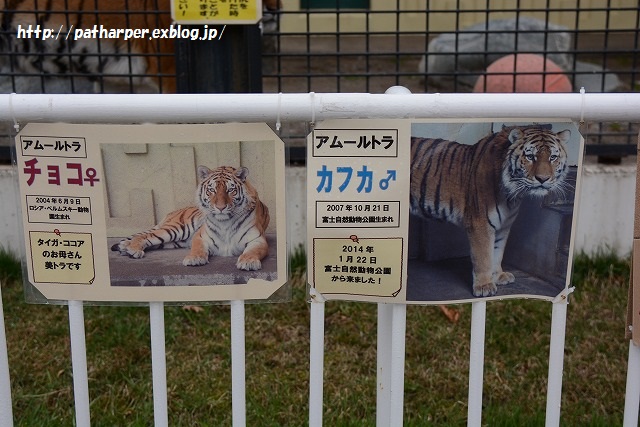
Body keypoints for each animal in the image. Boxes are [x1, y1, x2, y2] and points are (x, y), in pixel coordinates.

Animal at [110, 166, 270, 270]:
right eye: (212, 190)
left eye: (230, 190)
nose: (220, 207)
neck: (225, 222)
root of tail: (173, 212)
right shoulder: (200, 236)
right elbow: (197, 248)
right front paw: (194, 259)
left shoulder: (258, 240)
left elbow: (252, 251)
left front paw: (248, 262)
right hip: (175, 230)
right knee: (145, 236)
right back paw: (132, 249)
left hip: (173, 242)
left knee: (151, 241)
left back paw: (125, 248)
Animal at [412, 123, 572, 298]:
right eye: (530, 157)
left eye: (553, 157)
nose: (543, 179)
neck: (512, 195)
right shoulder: (480, 224)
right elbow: (484, 256)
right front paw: (484, 286)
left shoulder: (503, 226)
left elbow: (497, 252)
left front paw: (499, 276)